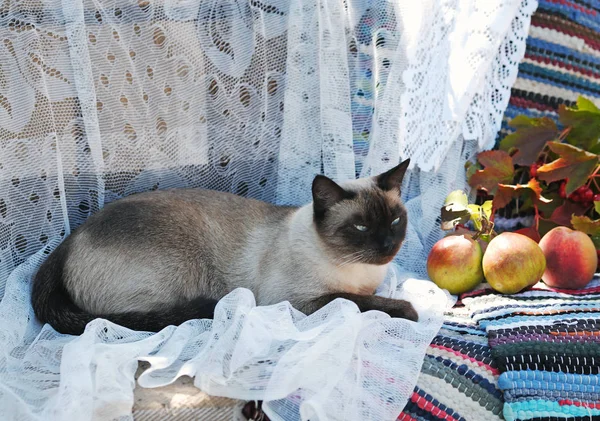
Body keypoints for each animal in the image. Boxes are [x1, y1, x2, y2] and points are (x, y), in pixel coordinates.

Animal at [32, 159, 418, 334]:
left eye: (395, 221)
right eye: (361, 226)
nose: (388, 244)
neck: (360, 273)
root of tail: (68, 240)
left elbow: (365, 297)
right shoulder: (299, 301)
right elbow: (358, 301)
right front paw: (409, 311)